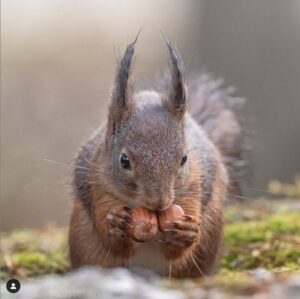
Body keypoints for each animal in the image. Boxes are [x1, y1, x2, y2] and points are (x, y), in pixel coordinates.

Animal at [69, 33, 247, 278]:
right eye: (124, 160)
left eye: (184, 159)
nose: (159, 201)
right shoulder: (98, 187)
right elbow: (112, 241)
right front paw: (116, 224)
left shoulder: (193, 188)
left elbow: (178, 252)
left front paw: (187, 233)